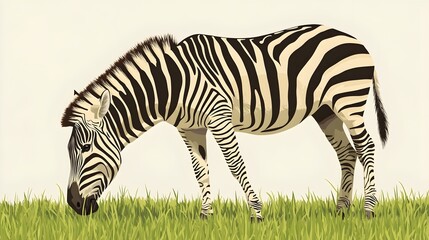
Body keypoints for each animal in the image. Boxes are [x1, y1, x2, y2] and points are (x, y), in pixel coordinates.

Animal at [61, 23, 386, 219]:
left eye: (86, 149)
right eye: (70, 152)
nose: (74, 204)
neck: (172, 85)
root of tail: (353, 39)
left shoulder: (219, 117)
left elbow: (235, 164)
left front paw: (256, 214)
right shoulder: (190, 129)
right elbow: (200, 171)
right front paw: (206, 216)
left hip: (348, 101)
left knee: (366, 147)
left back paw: (369, 211)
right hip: (326, 111)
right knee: (347, 153)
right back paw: (341, 211)